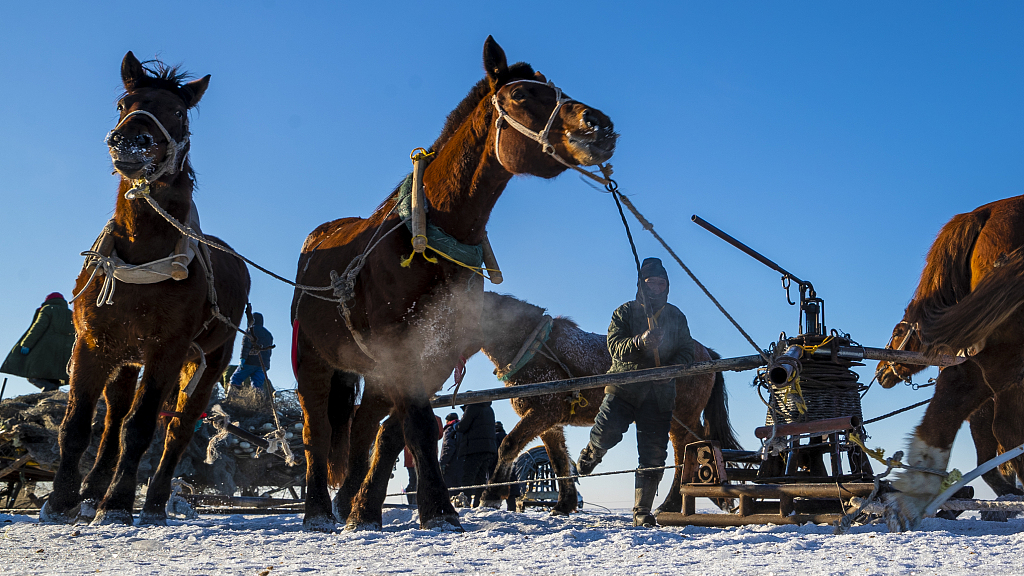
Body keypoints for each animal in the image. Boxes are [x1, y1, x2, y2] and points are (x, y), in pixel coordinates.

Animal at [41, 53, 249, 524]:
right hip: (124, 357)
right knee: (114, 416)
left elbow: (140, 430)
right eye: (123, 104)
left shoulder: (166, 351)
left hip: (206, 364)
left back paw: (152, 500)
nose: (130, 142)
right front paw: (62, 499)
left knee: (177, 428)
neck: (142, 255)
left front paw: (118, 503)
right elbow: (78, 426)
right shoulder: (94, 343)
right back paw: (92, 489)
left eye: (177, 111)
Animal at [292, 36, 618, 528]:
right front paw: (441, 510)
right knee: (318, 429)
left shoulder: (435, 354)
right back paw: (316, 511)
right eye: (521, 95)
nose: (599, 124)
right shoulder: (401, 349)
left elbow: (399, 432)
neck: (429, 240)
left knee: (364, 427)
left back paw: (350, 502)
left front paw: (377, 509)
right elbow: (417, 426)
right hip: (312, 358)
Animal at [475, 291, 741, 510]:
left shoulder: (544, 411)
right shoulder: (549, 422)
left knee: (685, 453)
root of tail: (706, 353)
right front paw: (564, 503)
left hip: (679, 418)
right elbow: (558, 460)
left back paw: (672, 504)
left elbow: (509, 444)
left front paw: (491, 495)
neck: (535, 347)